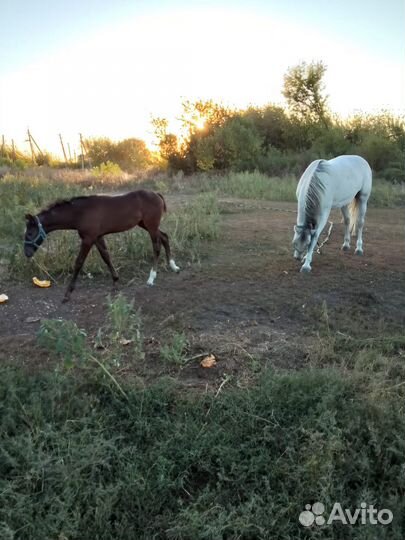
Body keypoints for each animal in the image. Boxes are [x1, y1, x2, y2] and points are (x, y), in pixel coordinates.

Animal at [23, 190, 178, 302]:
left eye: (29, 233)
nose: (27, 253)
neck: (80, 212)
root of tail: (156, 194)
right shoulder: (97, 237)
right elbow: (106, 257)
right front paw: (115, 282)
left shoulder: (88, 239)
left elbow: (79, 262)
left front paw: (67, 294)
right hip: (145, 224)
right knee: (165, 237)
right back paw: (173, 266)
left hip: (151, 225)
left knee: (156, 246)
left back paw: (151, 277)